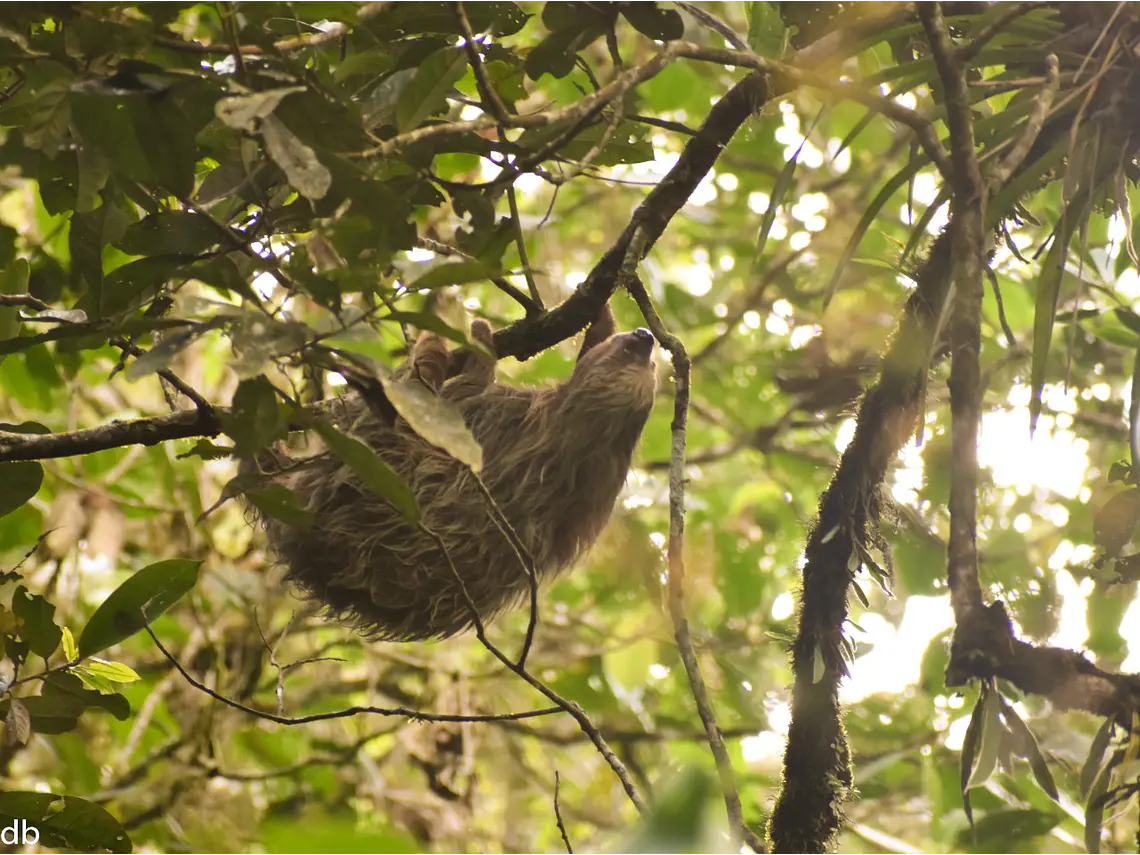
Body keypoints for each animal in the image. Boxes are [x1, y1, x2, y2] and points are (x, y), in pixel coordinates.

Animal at [243, 308, 658, 642]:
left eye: (634, 356)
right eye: (646, 360)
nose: (645, 337)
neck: (592, 441)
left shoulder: (500, 412)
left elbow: (459, 397)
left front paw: (476, 341)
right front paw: (601, 315)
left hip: (361, 477)